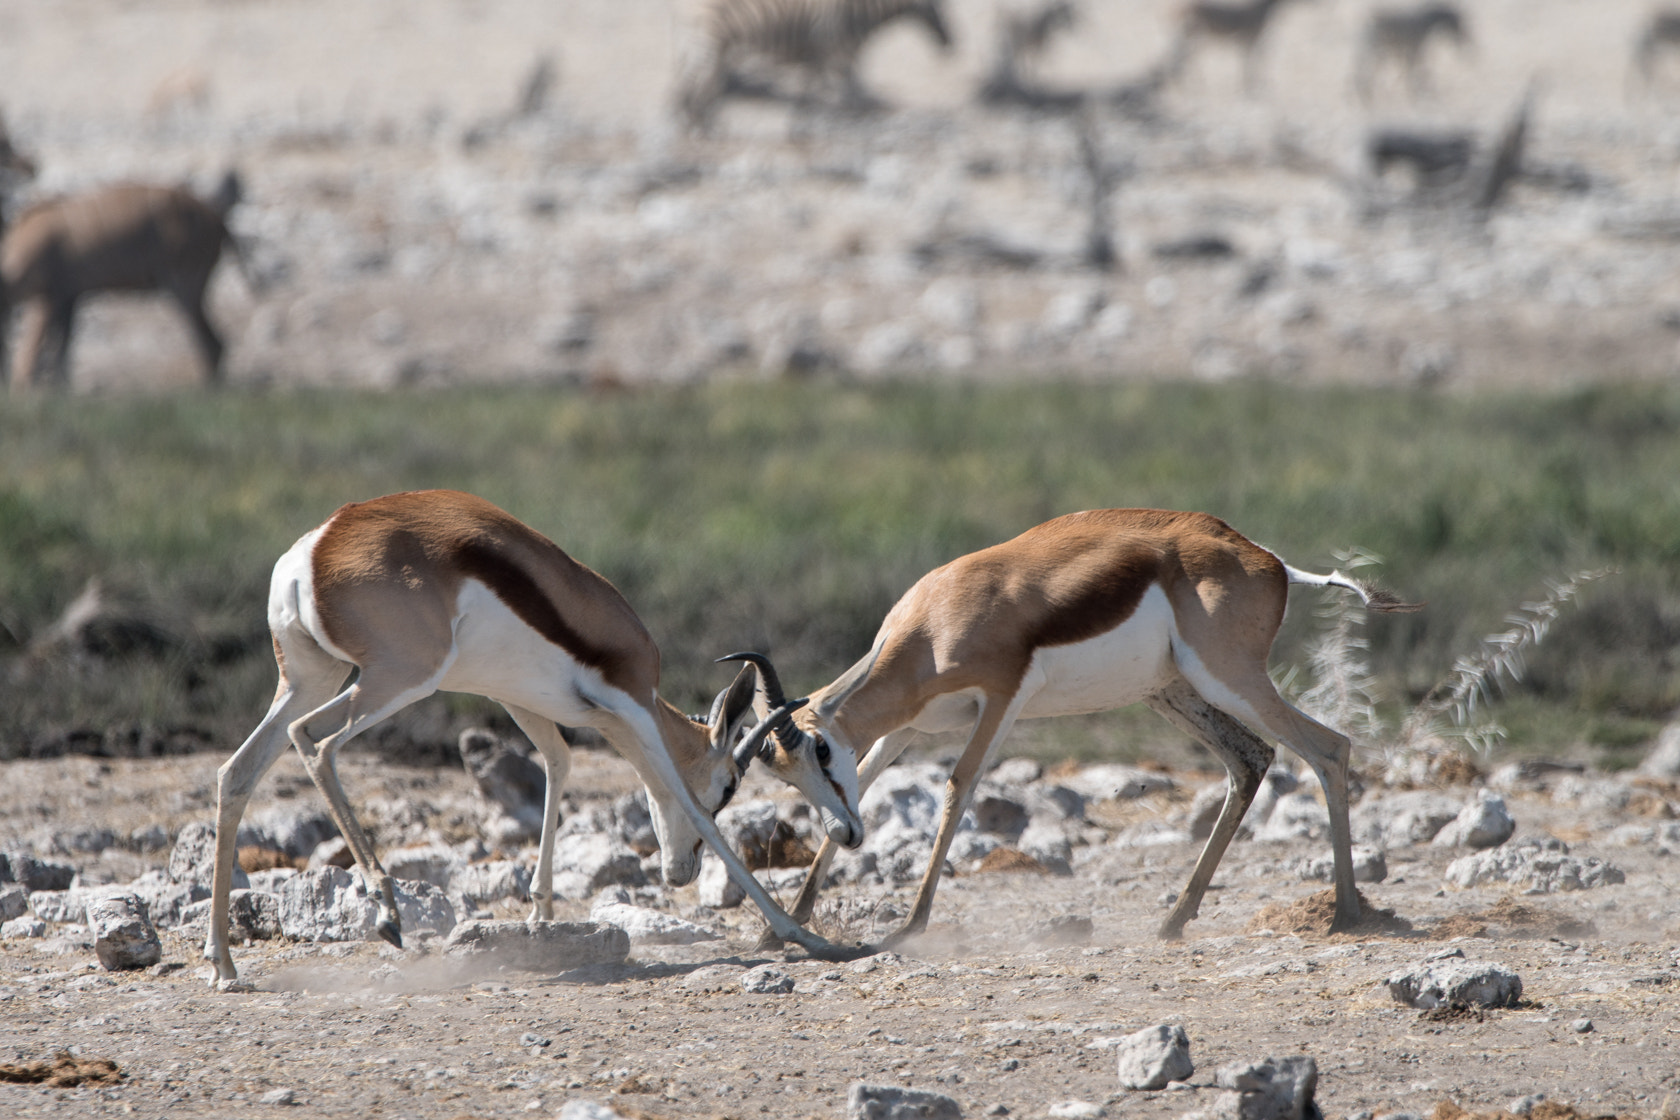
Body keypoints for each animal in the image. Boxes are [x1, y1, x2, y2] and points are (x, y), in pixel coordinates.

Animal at [1, 168, 251, 392]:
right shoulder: (70, 297)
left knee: (213, 342)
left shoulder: (47, 296)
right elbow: (63, 350)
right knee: (215, 341)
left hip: (184, 283)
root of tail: (219, 223)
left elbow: (31, 350)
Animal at [675, 0, 954, 128]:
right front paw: (860, 113)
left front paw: (809, 115)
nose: (950, 43)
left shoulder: (817, 51)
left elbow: (813, 87)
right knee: (699, 82)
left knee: (692, 82)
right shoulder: (837, 47)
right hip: (709, 42)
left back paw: (695, 120)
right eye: (938, 7)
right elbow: (850, 85)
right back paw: (701, 124)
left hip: (702, 44)